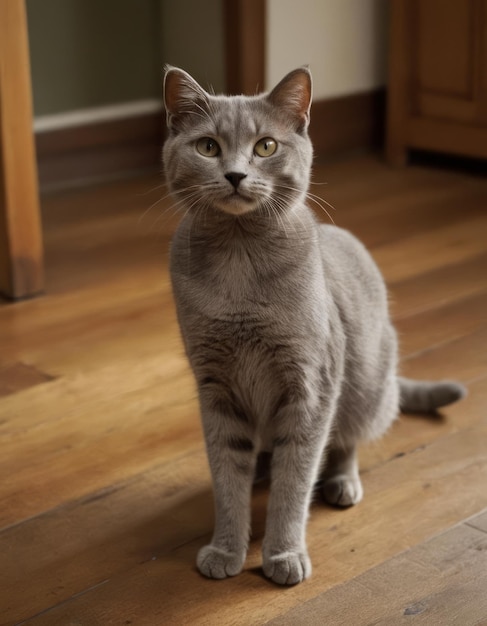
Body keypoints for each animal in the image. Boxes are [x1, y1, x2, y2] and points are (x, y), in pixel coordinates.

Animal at [162, 66, 468, 584]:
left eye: (266, 146)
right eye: (207, 147)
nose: (236, 174)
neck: (239, 259)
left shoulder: (311, 385)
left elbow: (296, 480)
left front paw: (283, 554)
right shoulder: (215, 389)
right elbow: (226, 476)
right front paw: (226, 548)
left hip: (363, 384)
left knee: (346, 441)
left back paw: (342, 482)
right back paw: (260, 467)